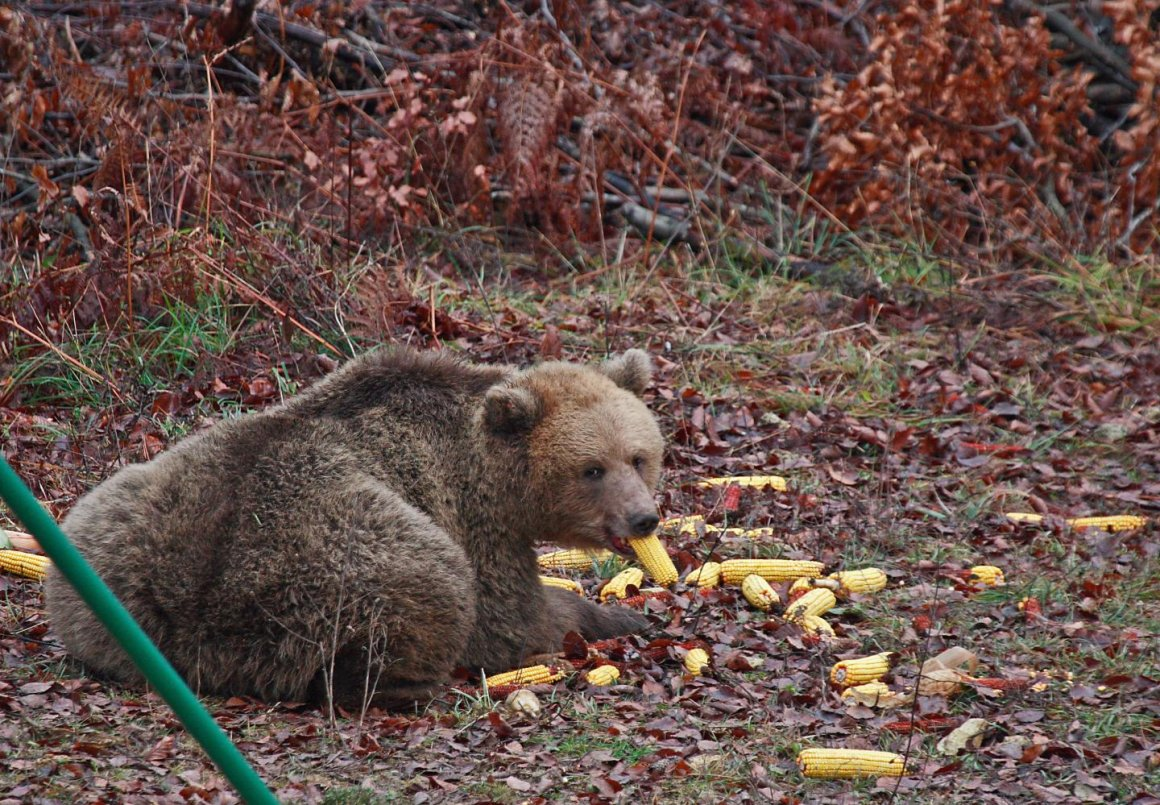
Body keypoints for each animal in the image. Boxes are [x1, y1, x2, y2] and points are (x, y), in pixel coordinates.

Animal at [45, 350, 663, 709]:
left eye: (638, 457)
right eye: (591, 469)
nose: (644, 517)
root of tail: (194, 621)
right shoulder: (470, 518)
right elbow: (509, 618)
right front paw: (615, 615)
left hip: (104, 539)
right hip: (332, 557)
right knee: (428, 585)